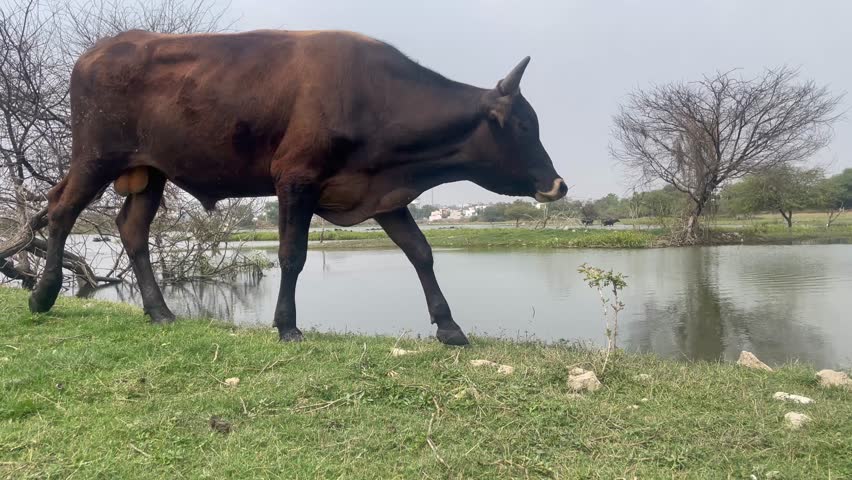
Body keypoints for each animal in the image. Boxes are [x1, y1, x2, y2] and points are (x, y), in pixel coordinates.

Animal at [27, 29, 568, 346]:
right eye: (524, 125)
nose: (559, 184)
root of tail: (98, 51)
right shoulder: (295, 177)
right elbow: (292, 254)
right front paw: (286, 325)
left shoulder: (380, 192)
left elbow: (420, 251)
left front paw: (450, 327)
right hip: (96, 156)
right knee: (62, 210)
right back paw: (43, 295)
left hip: (149, 172)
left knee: (131, 228)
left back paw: (160, 312)